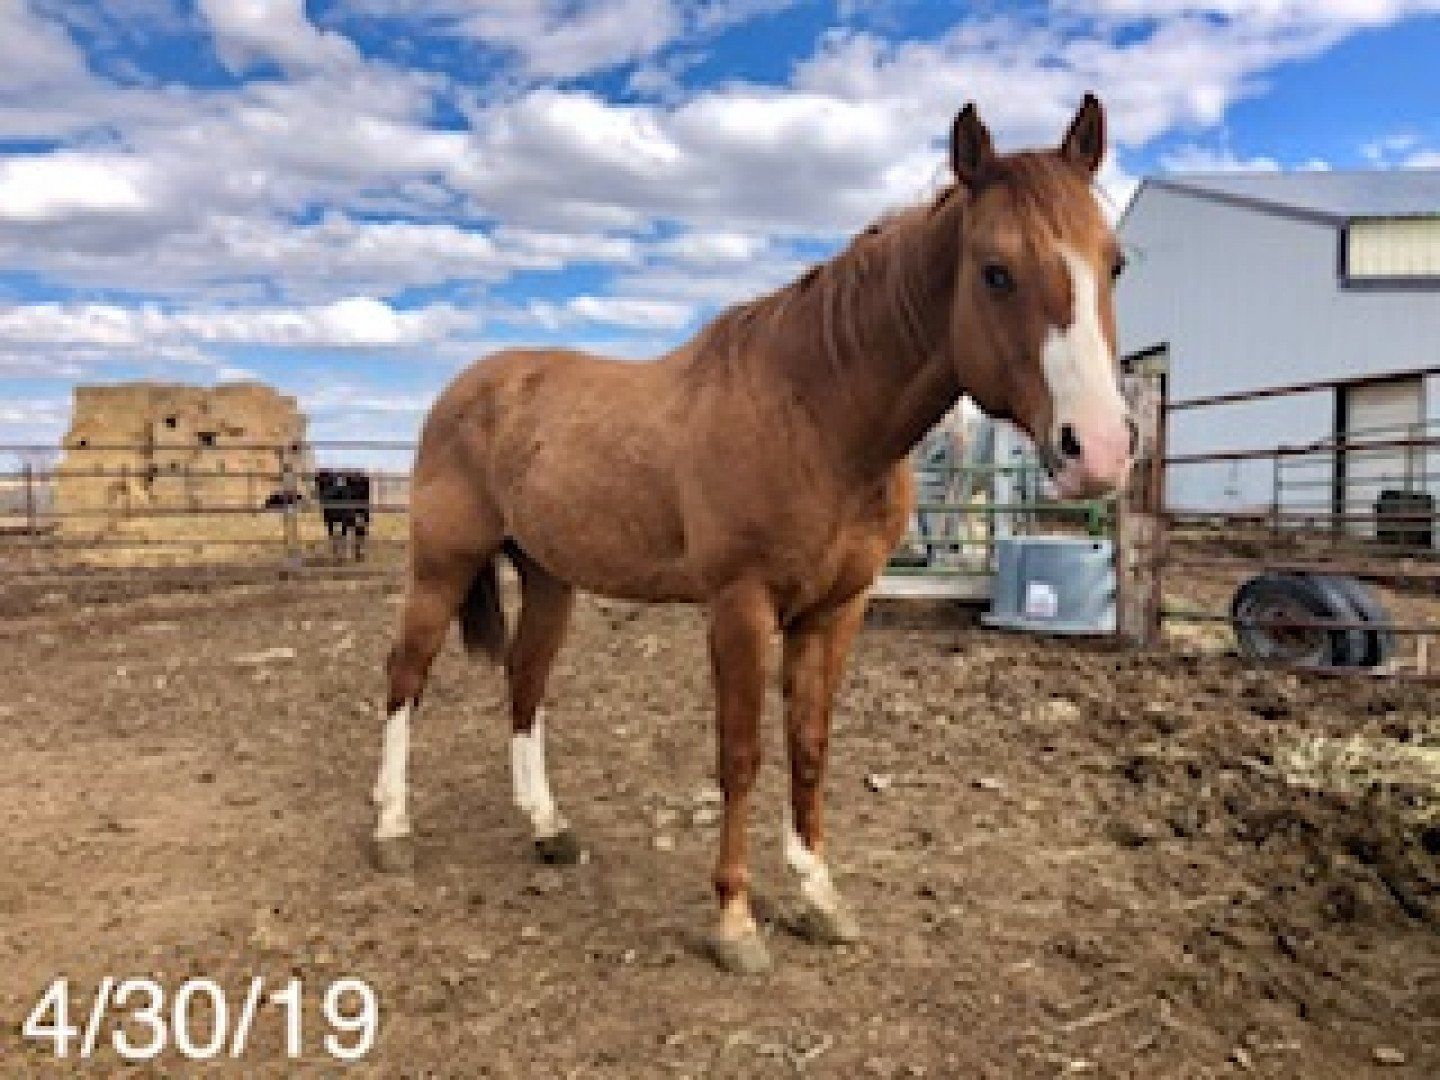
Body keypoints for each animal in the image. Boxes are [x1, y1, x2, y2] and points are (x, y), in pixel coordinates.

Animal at [370, 95, 1133, 974]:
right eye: (995, 271)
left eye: (1114, 265)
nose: (1099, 447)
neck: (818, 415)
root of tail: (465, 389)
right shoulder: (740, 608)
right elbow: (740, 755)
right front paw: (735, 922)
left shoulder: (836, 611)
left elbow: (809, 745)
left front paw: (818, 897)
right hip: (443, 563)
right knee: (407, 676)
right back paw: (391, 829)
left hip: (550, 576)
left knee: (525, 683)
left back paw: (548, 829)